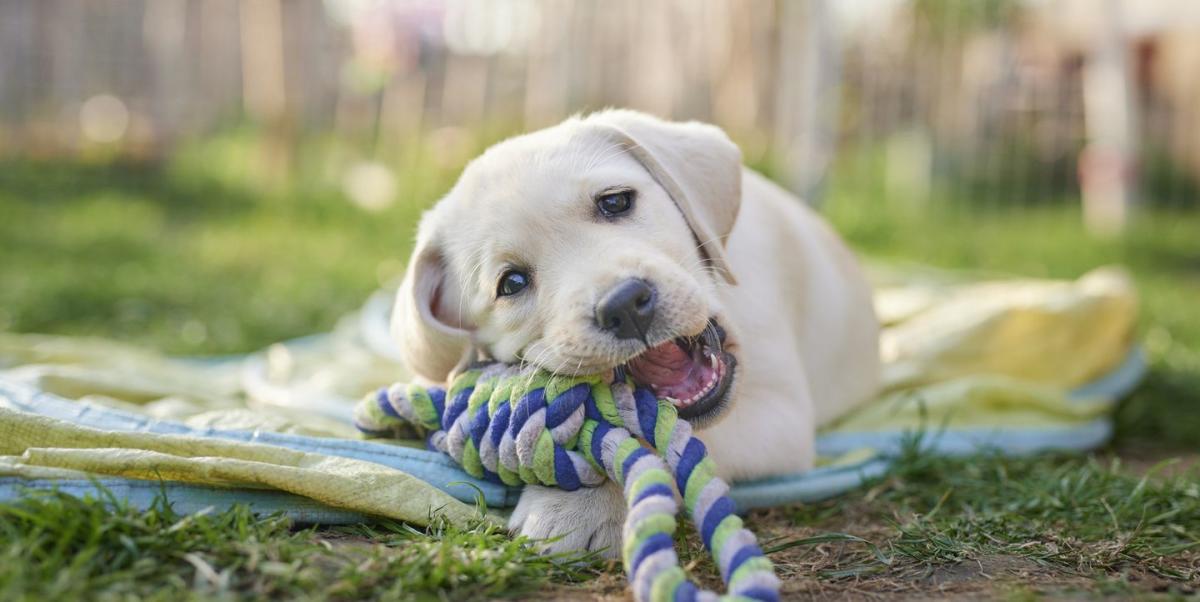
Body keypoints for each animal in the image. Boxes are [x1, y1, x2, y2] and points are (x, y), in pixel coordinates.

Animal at [393, 110, 883, 556]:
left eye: (615, 202)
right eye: (511, 283)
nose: (625, 306)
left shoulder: (782, 414)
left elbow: (657, 440)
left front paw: (580, 506)